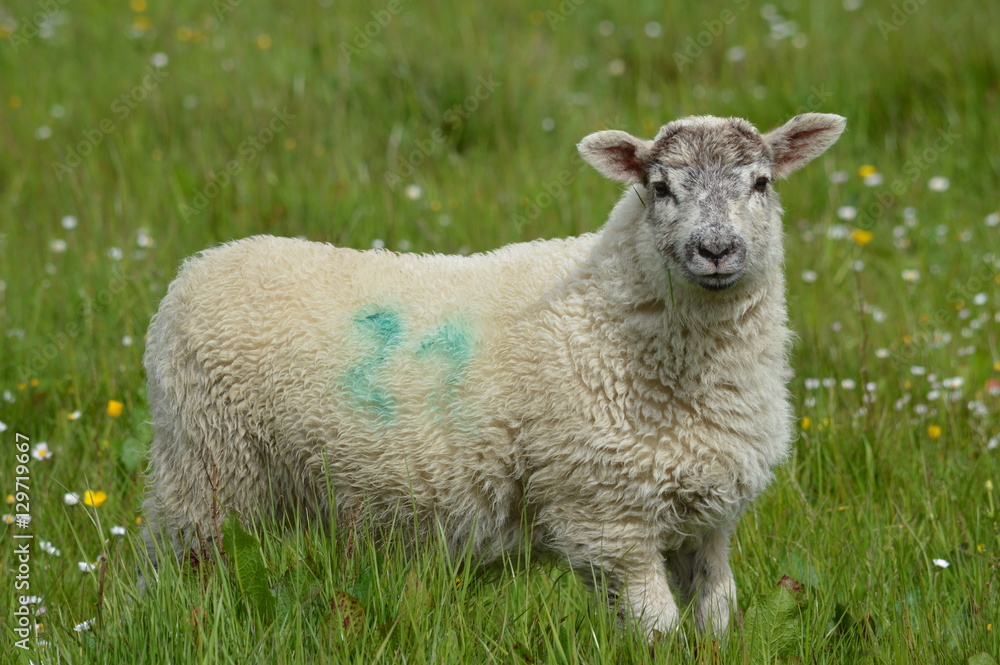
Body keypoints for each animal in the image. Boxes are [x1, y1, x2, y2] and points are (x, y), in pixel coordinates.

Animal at [142, 112, 845, 638]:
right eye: (662, 187)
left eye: (761, 182)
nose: (717, 250)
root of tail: (201, 266)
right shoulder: (607, 515)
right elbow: (657, 631)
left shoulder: (709, 516)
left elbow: (716, 617)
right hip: (207, 469)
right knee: (183, 568)